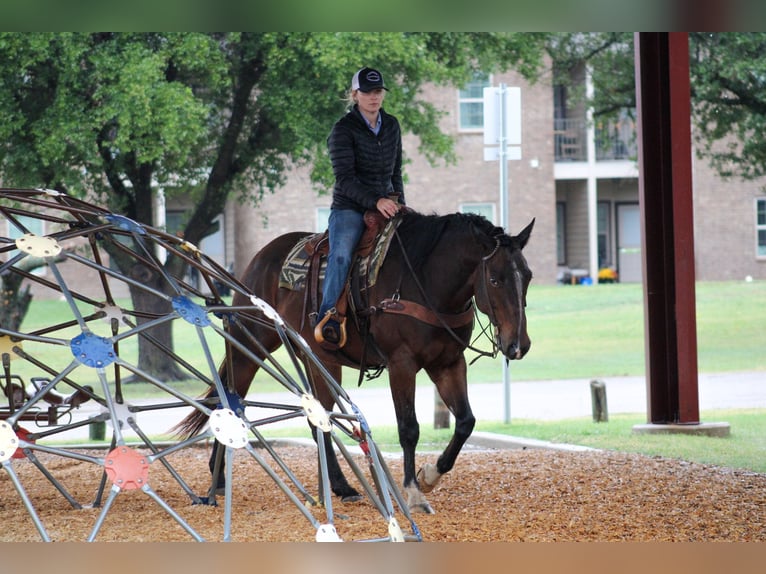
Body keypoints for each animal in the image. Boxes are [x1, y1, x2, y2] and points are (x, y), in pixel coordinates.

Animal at [176, 209, 536, 516]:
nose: (518, 344)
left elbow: (465, 422)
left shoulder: (448, 363)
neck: (425, 279)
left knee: (316, 418)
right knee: (231, 400)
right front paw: (413, 492)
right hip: (250, 346)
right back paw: (219, 481)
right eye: (495, 279)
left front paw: (430, 475)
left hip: (318, 360)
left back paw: (340, 486)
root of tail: (261, 258)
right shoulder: (402, 363)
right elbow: (409, 428)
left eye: (528, 276)